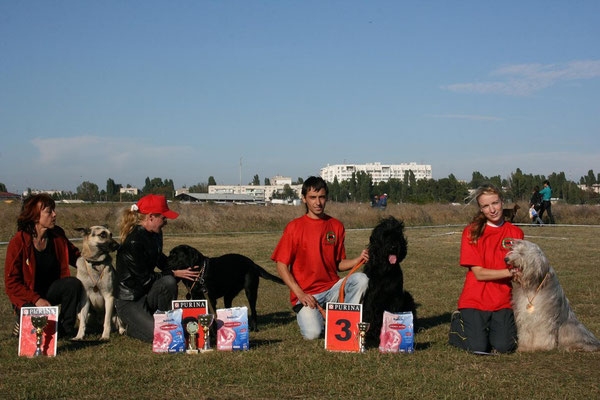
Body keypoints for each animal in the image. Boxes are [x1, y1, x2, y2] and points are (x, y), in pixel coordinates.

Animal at [360, 217, 418, 346]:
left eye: (397, 235)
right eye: (385, 235)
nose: (393, 247)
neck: (385, 270)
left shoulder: (395, 297)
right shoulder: (371, 296)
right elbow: (369, 314)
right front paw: (370, 336)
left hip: (407, 296)